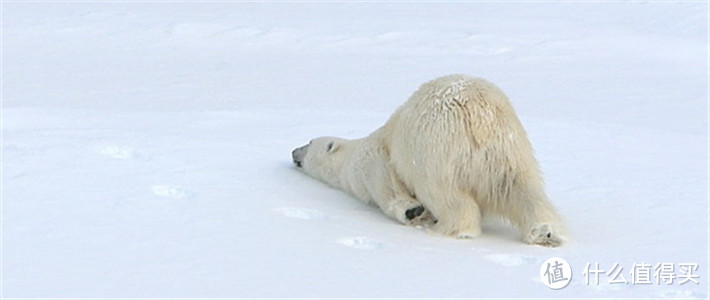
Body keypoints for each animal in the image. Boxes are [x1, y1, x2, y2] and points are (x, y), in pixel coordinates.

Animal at [292, 74, 564, 246]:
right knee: (523, 188)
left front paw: (413, 212)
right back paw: (546, 233)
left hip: (434, 150)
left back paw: (450, 230)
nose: (294, 152)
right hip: (510, 148)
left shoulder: (372, 160)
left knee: (445, 195)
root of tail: (478, 115)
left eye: (309, 142)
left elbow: (389, 189)